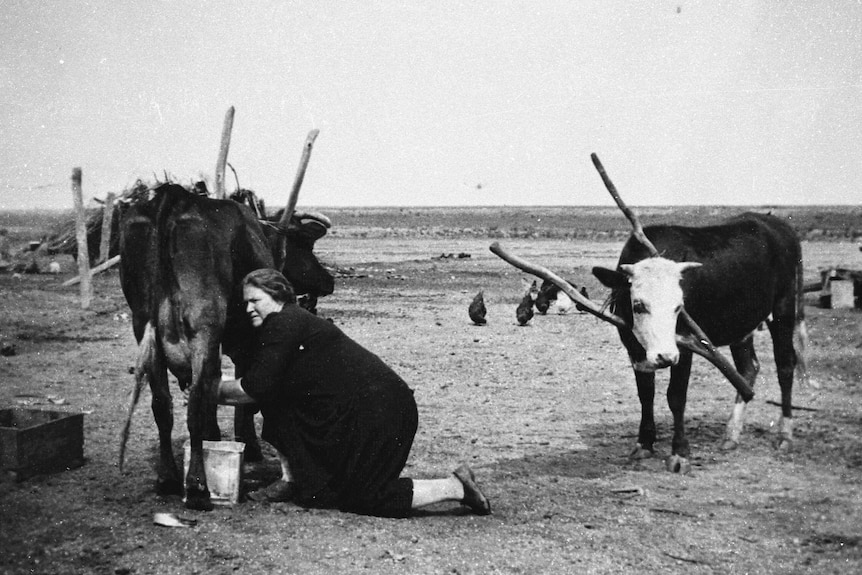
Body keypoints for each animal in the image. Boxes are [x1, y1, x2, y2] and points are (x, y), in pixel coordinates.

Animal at [119, 182, 274, 510]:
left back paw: (167, 478)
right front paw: (249, 445)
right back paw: (198, 487)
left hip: (144, 327)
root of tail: (176, 197)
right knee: (194, 405)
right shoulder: (242, 343)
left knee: (162, 405)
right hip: (204, 326)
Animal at [592, 214, 808, 474]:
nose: (665, 356)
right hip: (742, 323)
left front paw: (679, 453)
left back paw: (785, 435)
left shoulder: (685, 347)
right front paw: (644, 443)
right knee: (748, 368)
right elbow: (646, 394)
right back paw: (731, 435)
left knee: (785, 366)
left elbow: (676, 397)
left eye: (678, 306)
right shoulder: (634, 350)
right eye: (638, 305)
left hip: (783, 308)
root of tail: (777, 223)